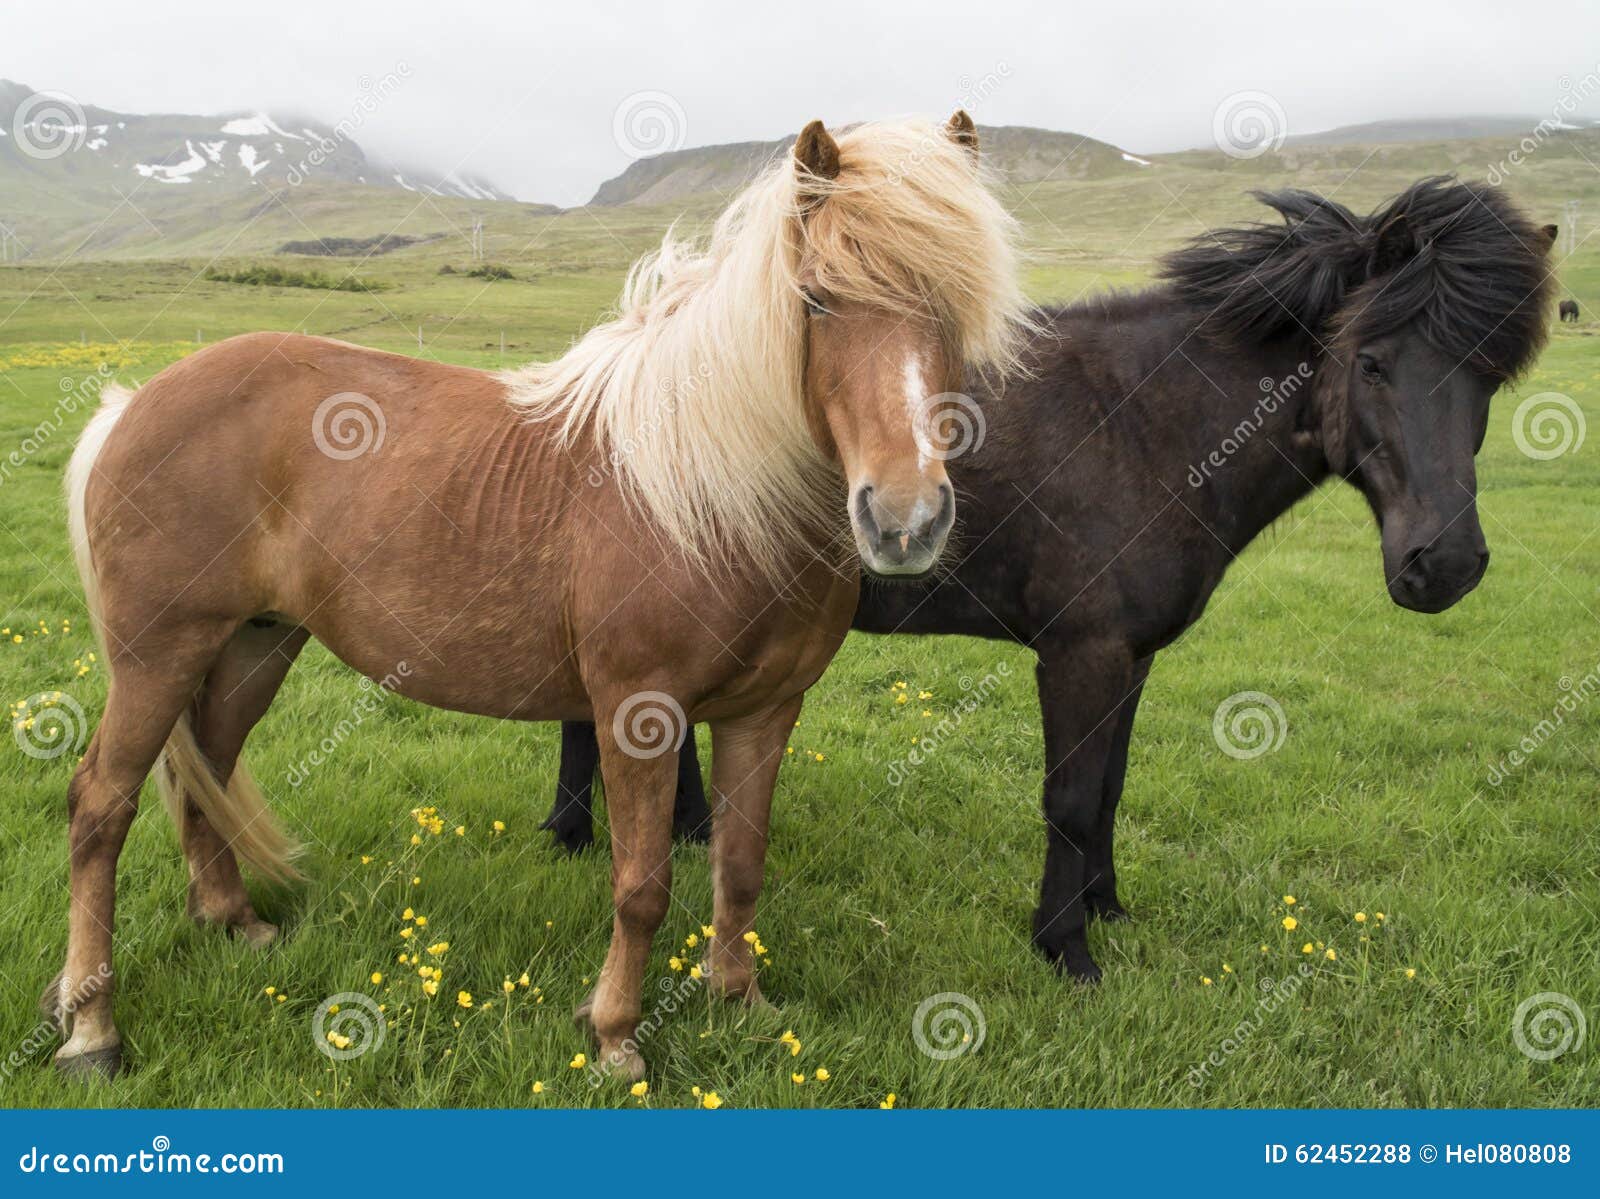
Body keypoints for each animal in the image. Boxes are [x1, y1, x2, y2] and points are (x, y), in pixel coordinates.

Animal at [53, 112, 1024, 1075]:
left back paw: (234, 922)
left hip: (254, 641)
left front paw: (739, 998)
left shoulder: (766, 711)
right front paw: (616, 1034)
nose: (904, 519)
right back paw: (92, 1028)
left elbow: (741, 863)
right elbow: (641, 884)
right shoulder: (639, 713)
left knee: (206, 772)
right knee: (101, 803)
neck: (708, 491)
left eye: (954, 307)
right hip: (160, 654)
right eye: (817, 300)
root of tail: (134, 404)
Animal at [544, 177, 1555, 979]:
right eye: (1375, 361)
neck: (1144, 427)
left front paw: (1106, 907)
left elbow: (1106, 787)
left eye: (1490, 376)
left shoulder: (1132, 658)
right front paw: (1065, 947)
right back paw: (573, 835)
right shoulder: (1081, 654)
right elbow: (1067, 800)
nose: (1445, 564)